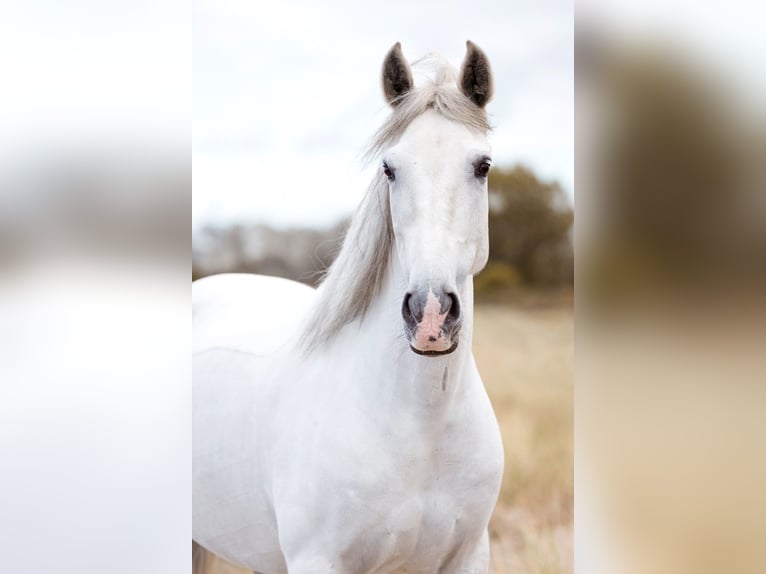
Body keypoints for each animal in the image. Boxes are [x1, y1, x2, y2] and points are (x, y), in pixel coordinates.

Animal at [193, 41, 504, 574]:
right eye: (389, 168)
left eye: (482, 165)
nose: (430, 316)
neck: (422, 427)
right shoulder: (318, 560)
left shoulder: (467, 557)